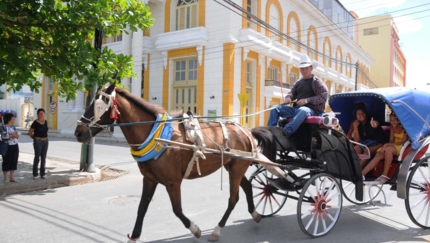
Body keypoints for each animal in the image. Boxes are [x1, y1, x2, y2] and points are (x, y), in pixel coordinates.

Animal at [74, 82, 262, 242]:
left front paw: (195, 229)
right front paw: (134, 236)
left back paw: (217, 230)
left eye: (100, 104)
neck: (156, 135)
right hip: (233, 167)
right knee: (247, 187)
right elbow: (142, 208)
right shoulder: (149, 179)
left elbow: (177, 210)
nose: (78, 132)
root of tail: (246, 131)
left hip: (237, 168)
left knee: (233, 198)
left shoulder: (172, 182)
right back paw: (255, 214)